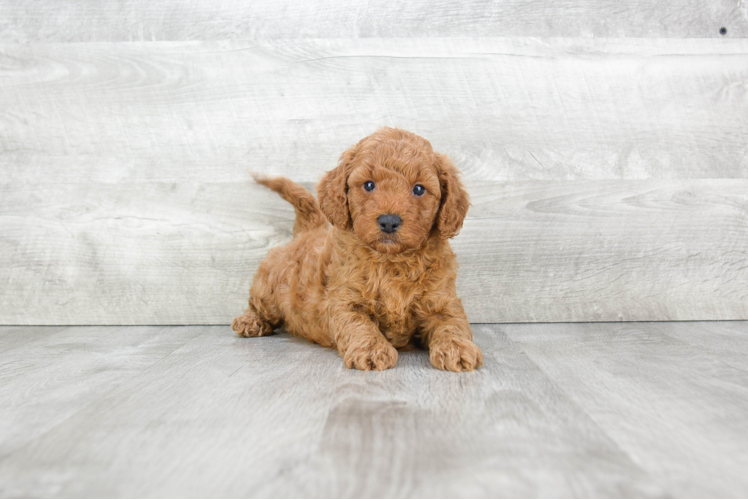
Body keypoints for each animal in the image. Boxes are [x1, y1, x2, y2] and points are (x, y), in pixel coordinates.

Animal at [231, 128, 482, 372]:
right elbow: (359, 324)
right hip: (269, 287)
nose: (389, 221)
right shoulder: (343, 301)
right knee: (258, 304)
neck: (392, 261)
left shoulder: (441, 300)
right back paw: (251, 321)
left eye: (419, 189)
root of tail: (310, 227)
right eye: (369, 185)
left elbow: (451, 323)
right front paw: (372, 350)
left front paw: (457, 348)